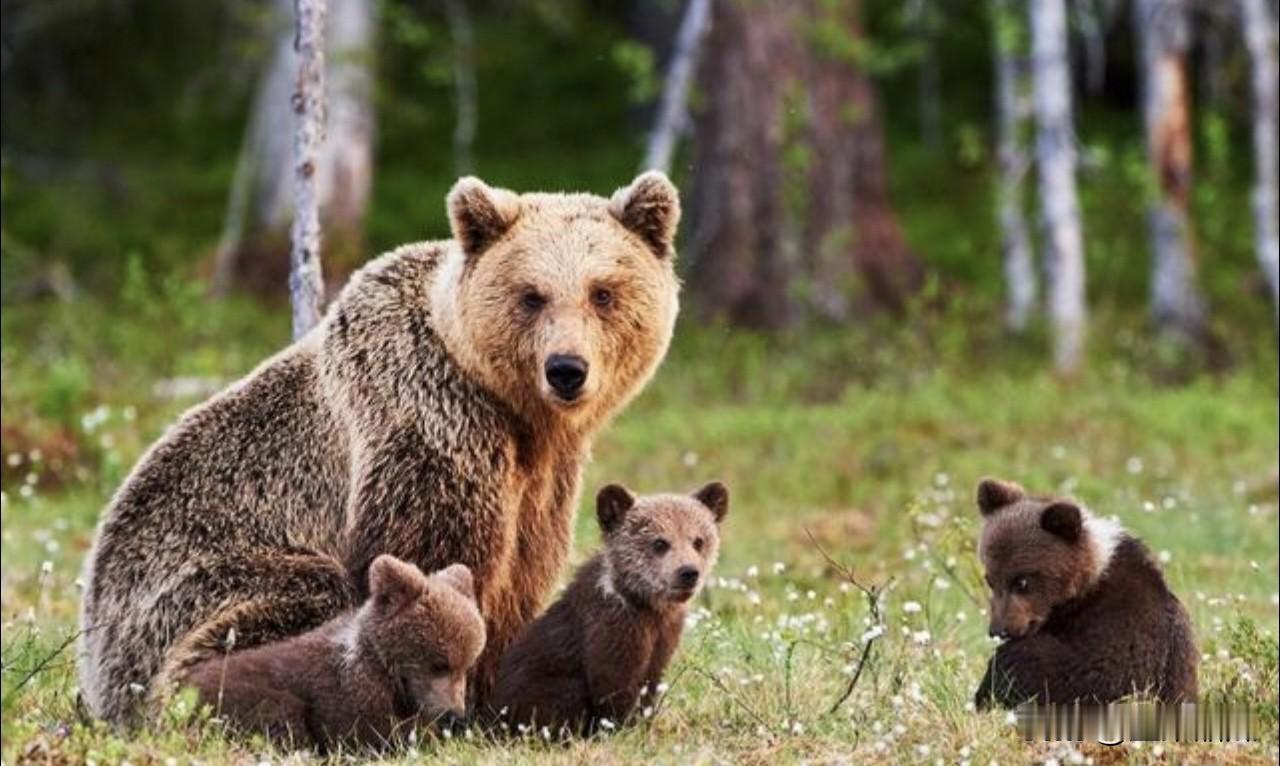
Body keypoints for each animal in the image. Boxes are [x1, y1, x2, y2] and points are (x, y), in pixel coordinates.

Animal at [78, 171, 683, 726]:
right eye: (531, 295)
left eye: (602, 292)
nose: (566, 369)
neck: (512, 411)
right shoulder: (429, 424)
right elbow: (431, 559)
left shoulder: (544, 478)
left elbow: (521, 575)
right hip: (191, 587)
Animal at [488, 481, 728, 735]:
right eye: (660, 542)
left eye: (698, 541)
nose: (688, 572)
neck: (646, 606)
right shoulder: (611, 631)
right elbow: (612, 687)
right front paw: (620, 729)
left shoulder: (663, 637)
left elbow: (650, 685)